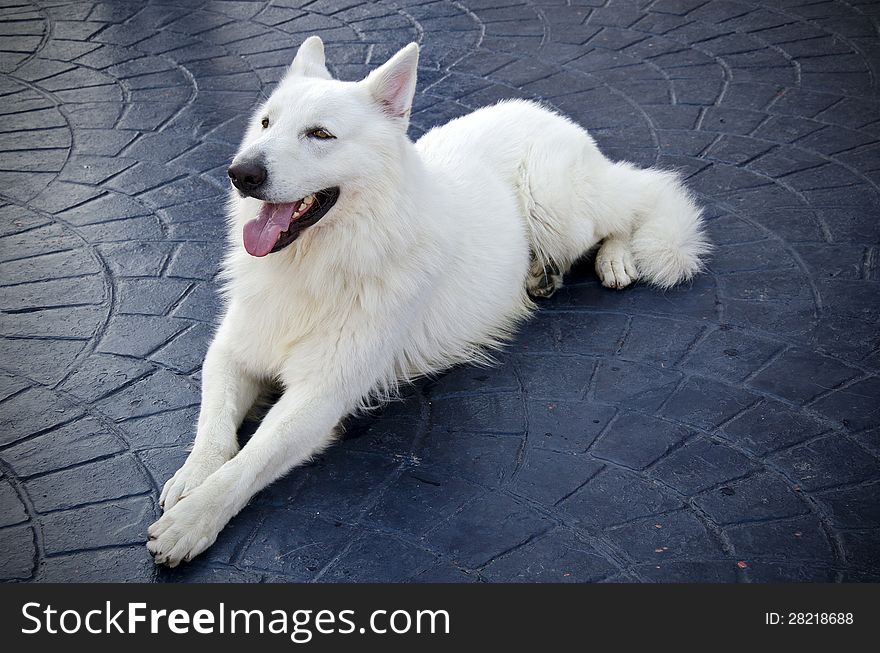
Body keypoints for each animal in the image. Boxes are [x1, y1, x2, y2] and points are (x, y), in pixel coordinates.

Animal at [146, 37, 708, 564]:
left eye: (320, 135)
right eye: (265, 123)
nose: (240, 173)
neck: (319, 266)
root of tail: (549, 113)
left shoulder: (320, 396)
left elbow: (249, 461)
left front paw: (195, 517)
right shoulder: (232, 354)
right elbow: (214, 426)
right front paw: (192, 477)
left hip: (558, 209)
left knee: (632, 204)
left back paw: (615, 258)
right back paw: (544, 274)